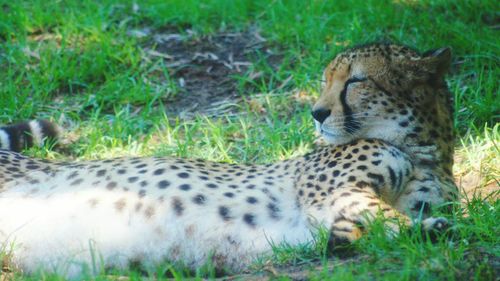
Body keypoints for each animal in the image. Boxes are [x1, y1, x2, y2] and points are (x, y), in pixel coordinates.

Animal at [0, 42, 458, 276]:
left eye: (356, 81)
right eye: (327, 80)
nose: (317, 113)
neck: (422, 149)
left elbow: (374, 225)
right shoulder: (334, 194)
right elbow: (386, 215)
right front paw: (431, 228)